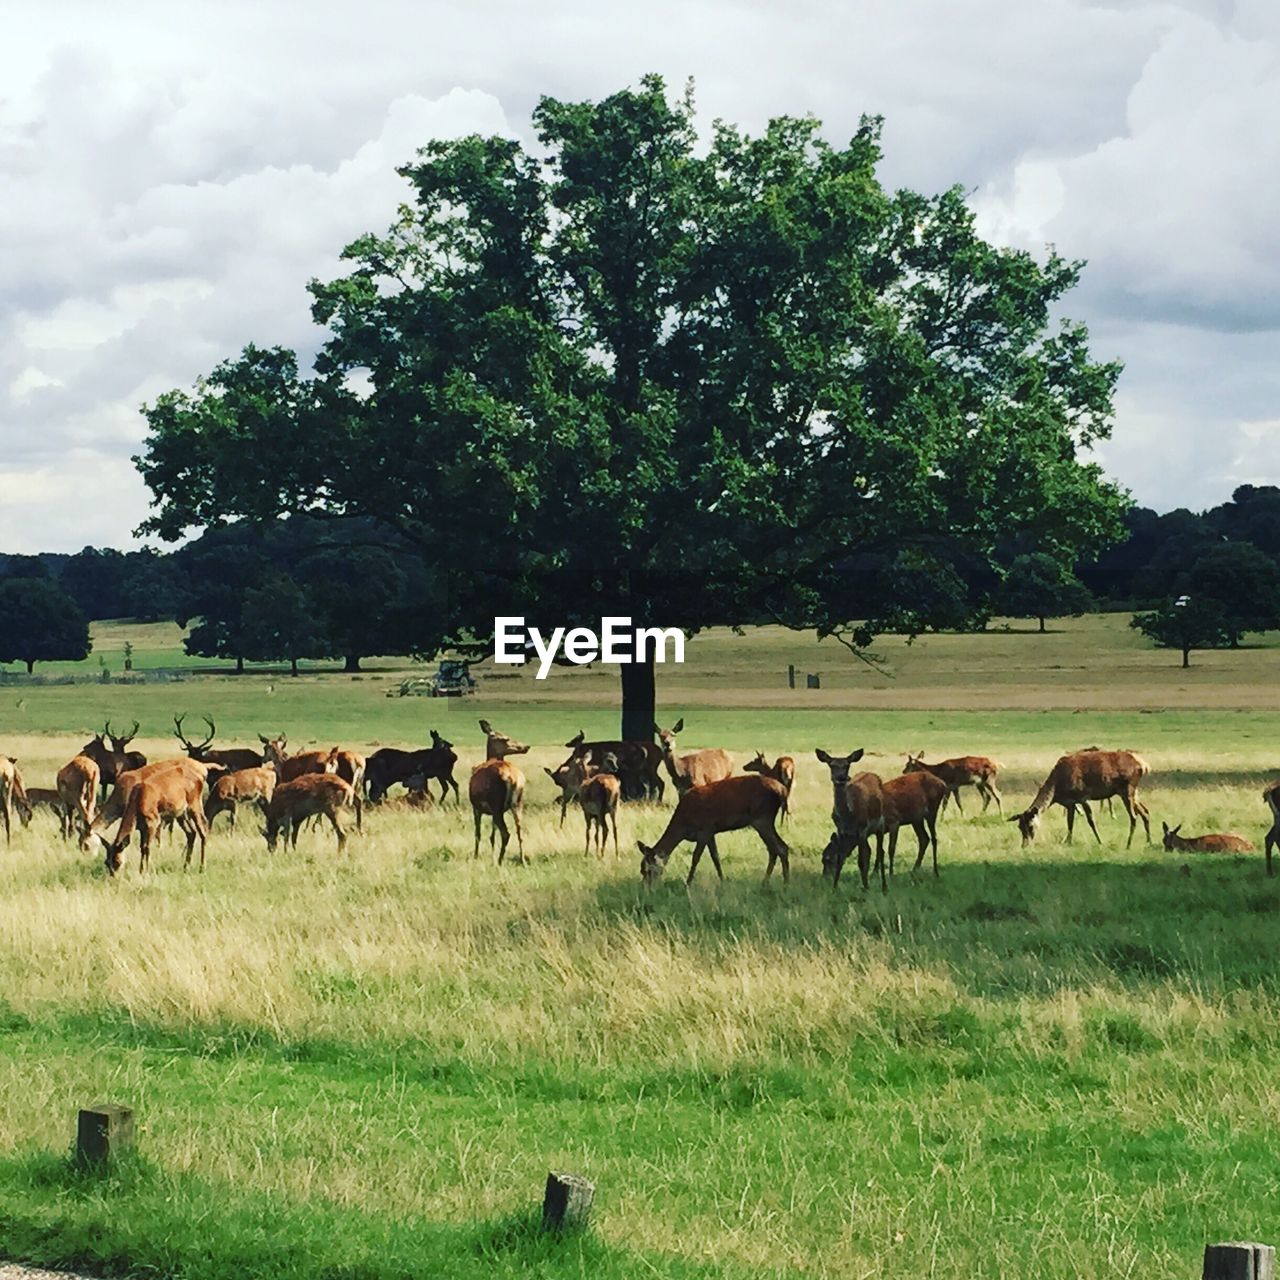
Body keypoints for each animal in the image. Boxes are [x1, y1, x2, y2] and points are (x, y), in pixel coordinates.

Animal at [471, 721, 529, 860]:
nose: (526, 746)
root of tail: (512, 778)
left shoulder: (476, 807)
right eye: (505, 738)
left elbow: (478, 833)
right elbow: (492, 834)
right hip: (518, 802)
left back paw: (500, 860)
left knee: (506, 833)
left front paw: (476, 856)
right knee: (520, 831)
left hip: (496, 802)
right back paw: (522, 859)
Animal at [637, 773, 788, 885]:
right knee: (776, 849)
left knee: (780, 848)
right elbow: (715, 857)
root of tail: (782, 790)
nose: (647, 887)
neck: (683, 825)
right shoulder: (711, 832)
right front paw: (722, 880)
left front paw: (688, 883)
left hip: (762, 818)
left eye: (647, 870)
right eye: (642, 870)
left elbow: (696, 857)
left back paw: (785, 883)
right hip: (764, 820)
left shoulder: (704, 829)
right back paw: (766, 882)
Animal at [814, 747, 885, 890]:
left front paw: (866, 888)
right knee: (872, 851)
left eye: (847, 765)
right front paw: (834, 888)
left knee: (881, 851)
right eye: (832, 765)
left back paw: (883, 885)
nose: (841, 777)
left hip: (880, 824)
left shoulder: (862, 830)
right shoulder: (841, 831)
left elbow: (862, 861)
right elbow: (842, 859)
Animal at [1008, 747, 1152, 849]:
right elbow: (1070, 822)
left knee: (1134, 816)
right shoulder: (1069, 803)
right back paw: (1149, 842)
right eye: (1019, 826)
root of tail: (1144, 765)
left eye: (1031, 826)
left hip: (1127, 789)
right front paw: (1068, 842)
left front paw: (1100, 842)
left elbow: (1091, 820)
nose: (1024, 845)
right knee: (1145, 812)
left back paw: (1128, 845)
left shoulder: (1082, 796)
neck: (1057, 790)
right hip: (1134, 792)